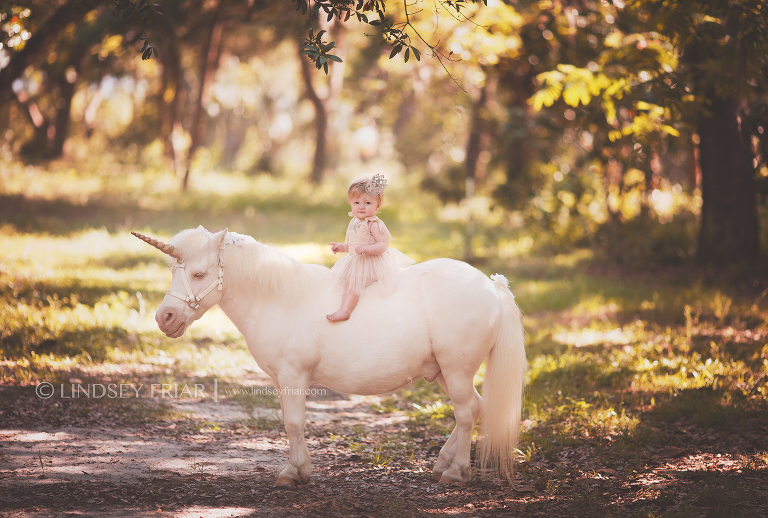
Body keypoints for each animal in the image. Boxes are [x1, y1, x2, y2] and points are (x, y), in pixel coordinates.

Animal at [134, 228, 528, 488]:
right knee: (474, 408)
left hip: (457, 370)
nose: (164, 317)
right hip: (445, 371)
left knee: (466, 412)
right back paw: (443, 462)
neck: (279, 298)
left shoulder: (294, 376)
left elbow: (294, 423)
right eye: (174, 272)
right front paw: (299, 469)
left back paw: (455, 472)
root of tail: (492, 285)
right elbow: (290, 423)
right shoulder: (281, 379)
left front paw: (293, 473)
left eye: (199, 274)